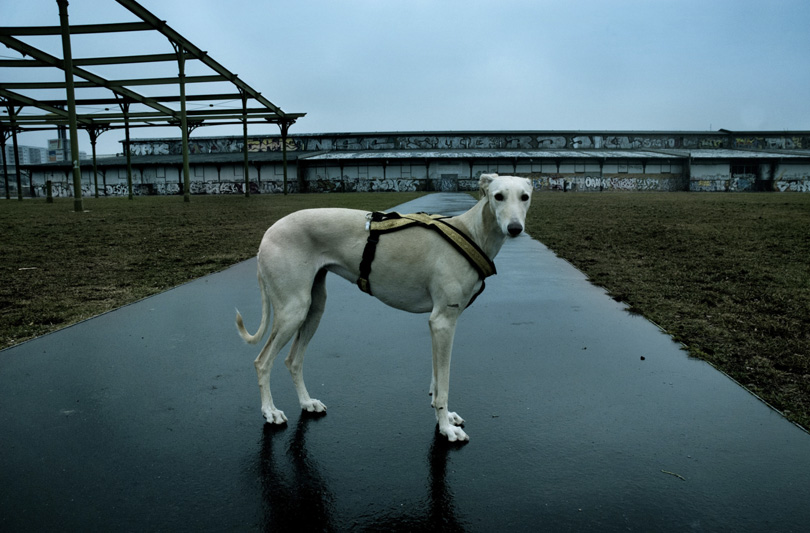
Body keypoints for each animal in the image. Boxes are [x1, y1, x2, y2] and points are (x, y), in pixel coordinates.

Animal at [237, 174, 532, 440]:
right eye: (498, 196)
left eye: (525, 197)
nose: (515, 228)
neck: (471, 232)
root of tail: (267, 234)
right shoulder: (443, 321)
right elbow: (444, 385)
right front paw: (446, 429)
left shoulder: (438, 325)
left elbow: (437, 381)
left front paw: (445, 418)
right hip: (293, 311)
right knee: (262, 362)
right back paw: (270, 412)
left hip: (313, 308)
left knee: (293, 360)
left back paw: (307, 403)